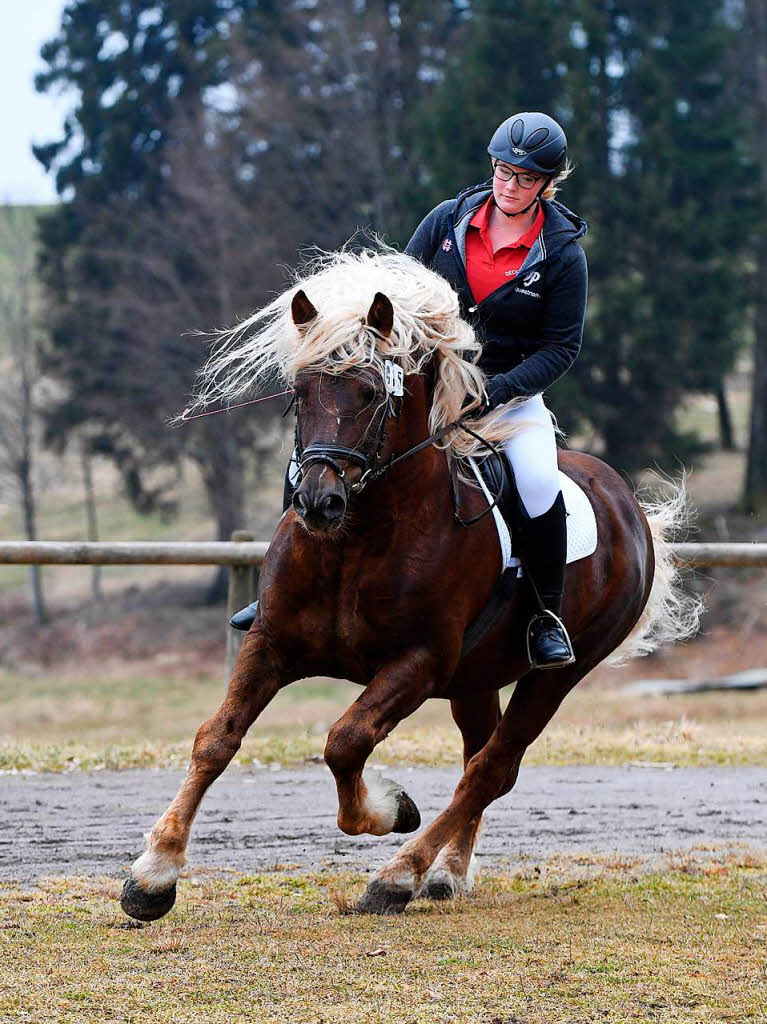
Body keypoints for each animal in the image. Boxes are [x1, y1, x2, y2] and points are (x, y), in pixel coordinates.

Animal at [118, 245, 692, 921]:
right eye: (300, 391)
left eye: (370, 394)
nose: (318, 502)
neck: (357, 538)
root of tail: (630, 505)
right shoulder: (271, 642)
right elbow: (216, 739)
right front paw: (154, 874)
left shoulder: (418, 663)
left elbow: (346, 741)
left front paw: (391, 811)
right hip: (474, 678)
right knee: (481, 758)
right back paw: (446, 873)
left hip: (555, 676)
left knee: (491, 768)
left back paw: (400, 874)